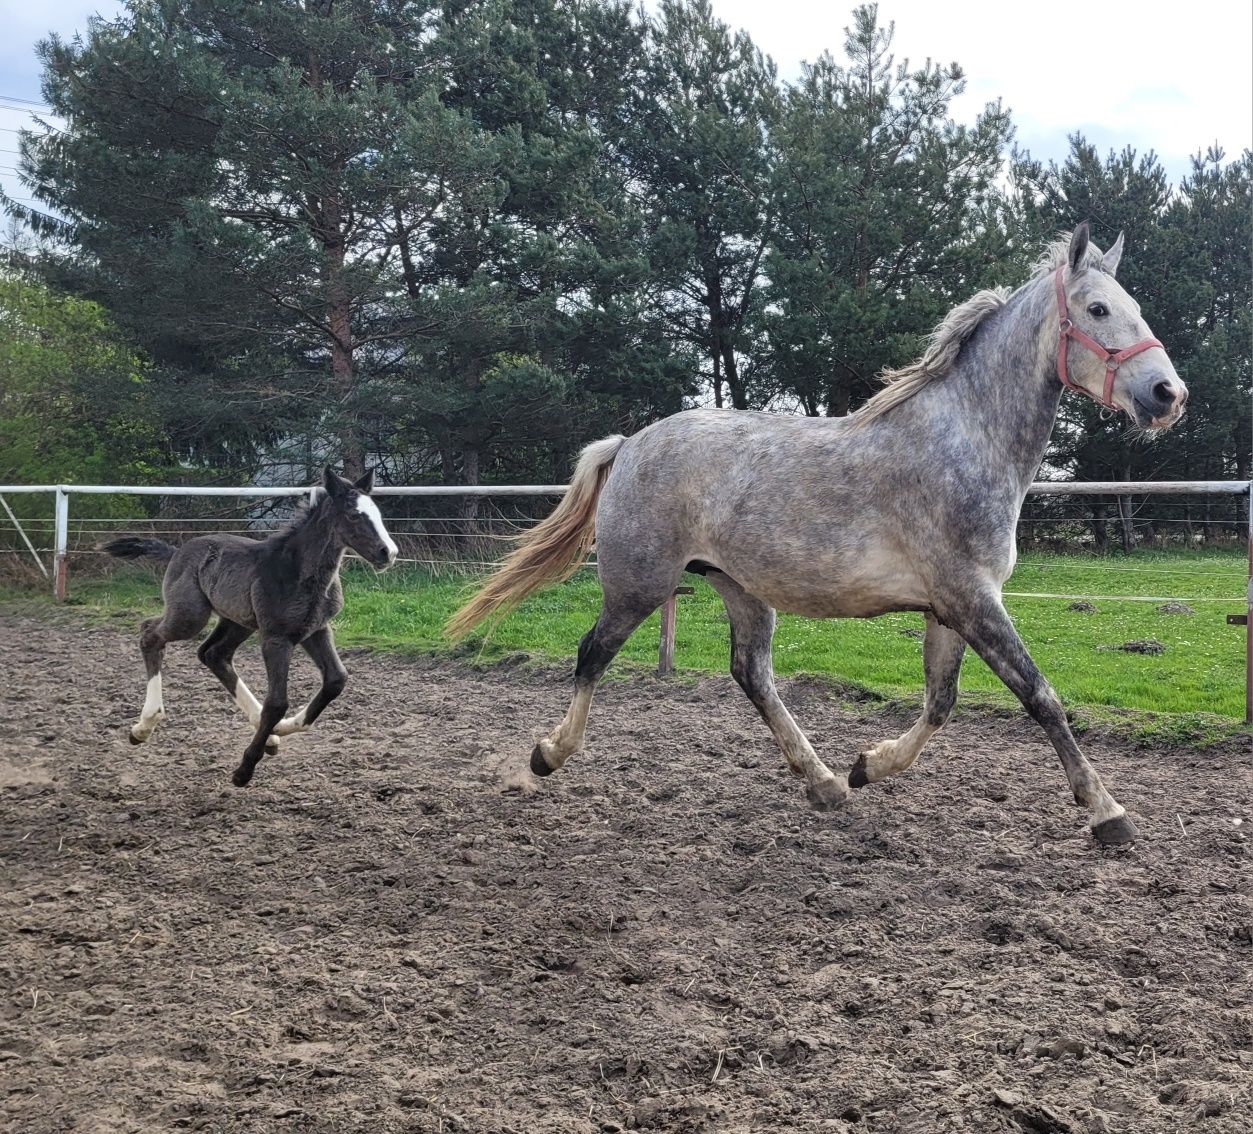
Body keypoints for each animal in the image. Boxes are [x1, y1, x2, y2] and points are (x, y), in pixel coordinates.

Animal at [105, 463, 395, 781]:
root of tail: (177, 551)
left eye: (378, 513)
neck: (298, 572)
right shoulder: (276, 638)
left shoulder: (315, 630)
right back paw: (143, 726)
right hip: (190, 616)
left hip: (237, 622)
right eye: (354, 514)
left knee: (213, 654)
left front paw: (280, 730)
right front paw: (244, 769)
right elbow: (277, 702)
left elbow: (335, 680)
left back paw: (268, 735)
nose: (388, 552)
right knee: (150, 634)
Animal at [451, 225, 1182, 847]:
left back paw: (826, 783)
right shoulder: (972, 599)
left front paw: (866, 765)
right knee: (592, 655)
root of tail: (629, 443)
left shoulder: (951, 607)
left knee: (751, 674)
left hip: (739, 588)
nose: (1166, 394)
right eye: (1096, 309)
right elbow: (1041, 697)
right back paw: (546, 756)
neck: (965, 442)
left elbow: (941, 702)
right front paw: (1107, 813)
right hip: (637, 586)